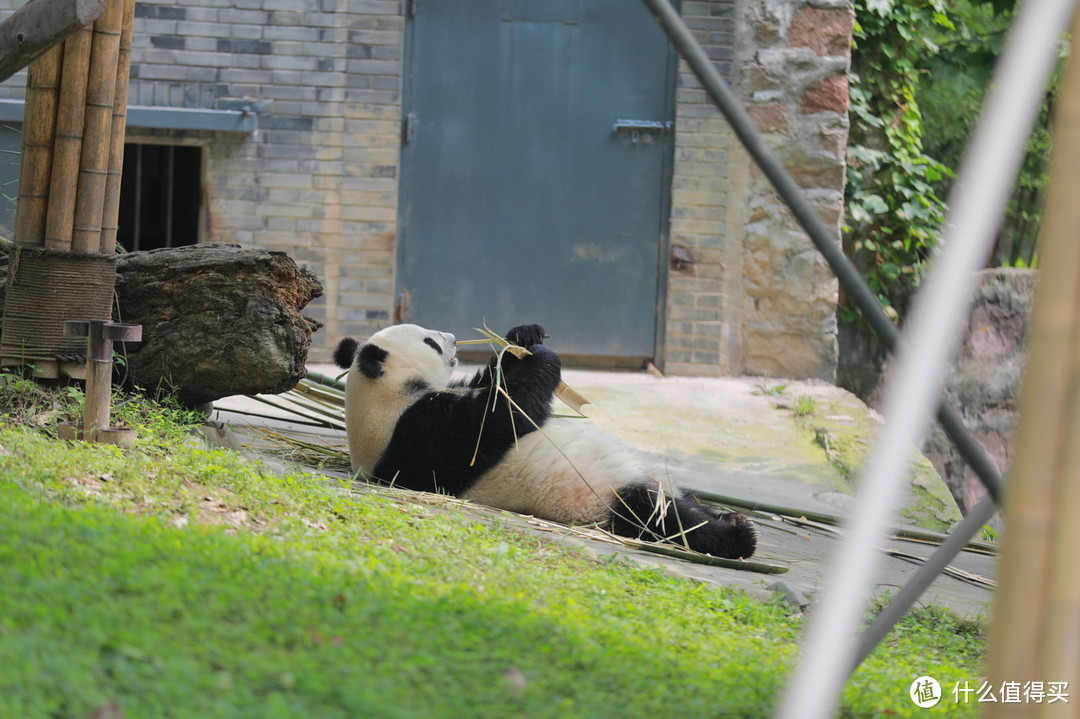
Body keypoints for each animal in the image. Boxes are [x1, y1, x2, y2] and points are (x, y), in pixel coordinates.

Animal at [332, 321, 756, 557]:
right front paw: (542, 356)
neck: (384, 400)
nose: (451, 338)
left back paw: (725, 513)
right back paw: (737, 533)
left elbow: (495, 383)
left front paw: (523, 338)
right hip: (606, 497)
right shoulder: (421, 434)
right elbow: (502, 416)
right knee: (662, 515)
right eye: (431, 343)